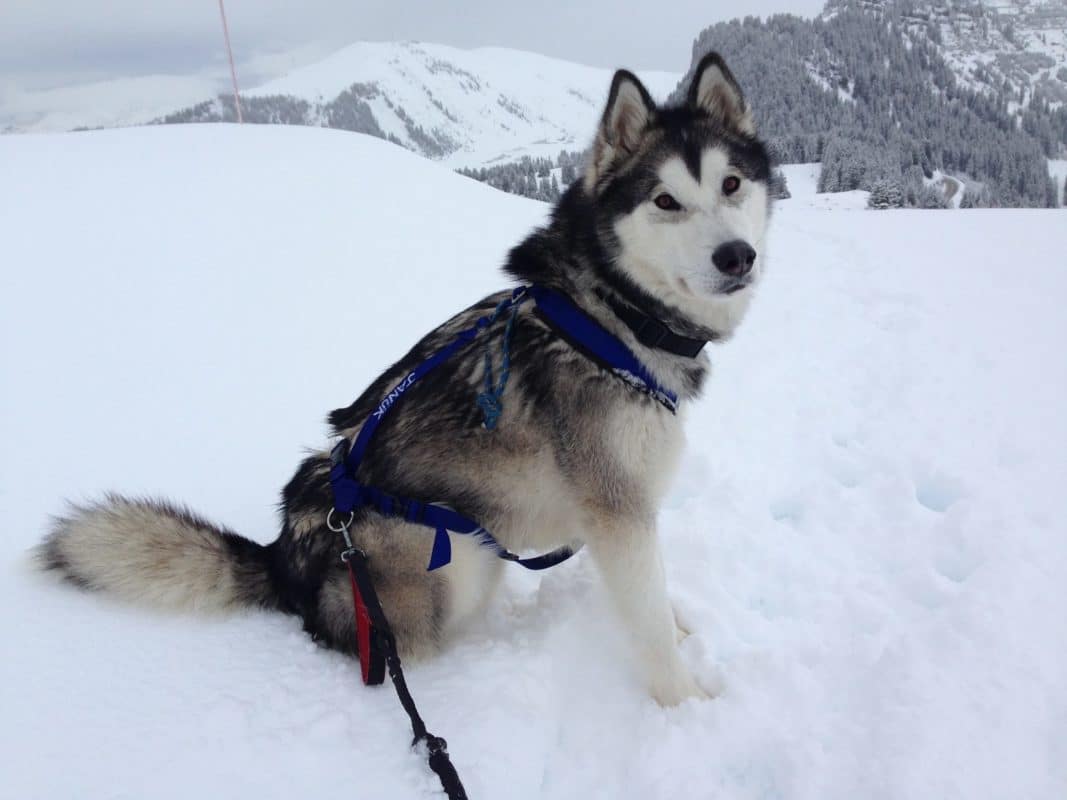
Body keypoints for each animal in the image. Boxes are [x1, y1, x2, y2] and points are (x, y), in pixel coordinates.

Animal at [37, 53, 772, 708]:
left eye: (731, 185)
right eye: (665, 200)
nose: (736, 256)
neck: (610, 315)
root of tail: (286, 558)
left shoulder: (622, 512)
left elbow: (655, 601)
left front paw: (682, 633)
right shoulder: (617, 509)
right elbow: (646, 624)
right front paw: (684, 706)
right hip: (454, 554)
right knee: (403, 647)